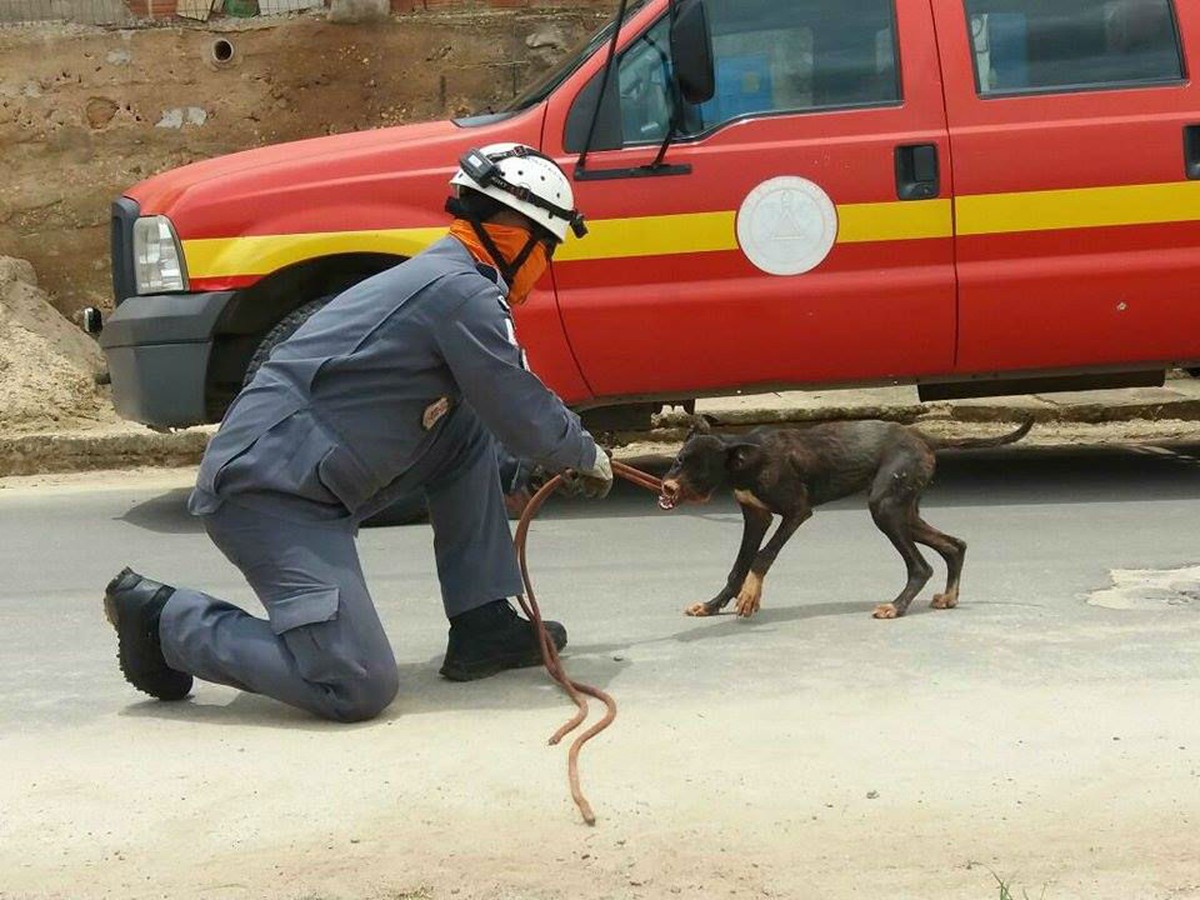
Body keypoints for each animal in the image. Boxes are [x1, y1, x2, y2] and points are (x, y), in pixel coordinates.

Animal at [657, 420, 1032, 624]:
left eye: (702, 471)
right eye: (678, 461)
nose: (667, 488)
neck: (745, 459)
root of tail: (924, 438)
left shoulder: (797, 511)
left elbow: (763, 557)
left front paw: (750, 597)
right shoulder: (756, 515)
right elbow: (738, 567)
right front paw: (713, 605)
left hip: (885, 508)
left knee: (921, 566)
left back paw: (897, 607)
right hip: (904, 510)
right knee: (954, 545)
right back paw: (949, 597)